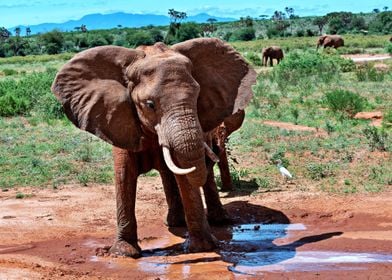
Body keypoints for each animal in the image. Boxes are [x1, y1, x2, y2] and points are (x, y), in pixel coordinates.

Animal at [50, 37, 256, 258]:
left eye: (198, 97)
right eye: (150, 104)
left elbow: (185, 174)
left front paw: (203, 249)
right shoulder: (117, 118)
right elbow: (124, 175)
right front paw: (123, 253)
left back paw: (216, 221)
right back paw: (175, 222)